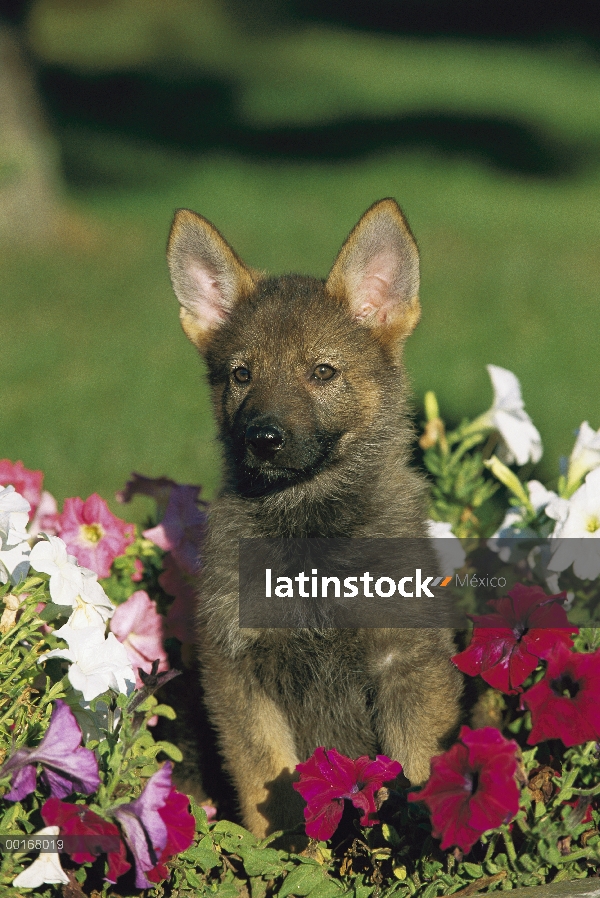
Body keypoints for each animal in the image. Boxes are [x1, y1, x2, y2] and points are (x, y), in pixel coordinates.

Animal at [166, 200, 462, 836]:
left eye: (323, 372)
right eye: (241, 374)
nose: (263, 438)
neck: (309, 532)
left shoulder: (406, 665)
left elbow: (418, 769)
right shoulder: (238, 675)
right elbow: (268, 790)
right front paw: (277, 855)